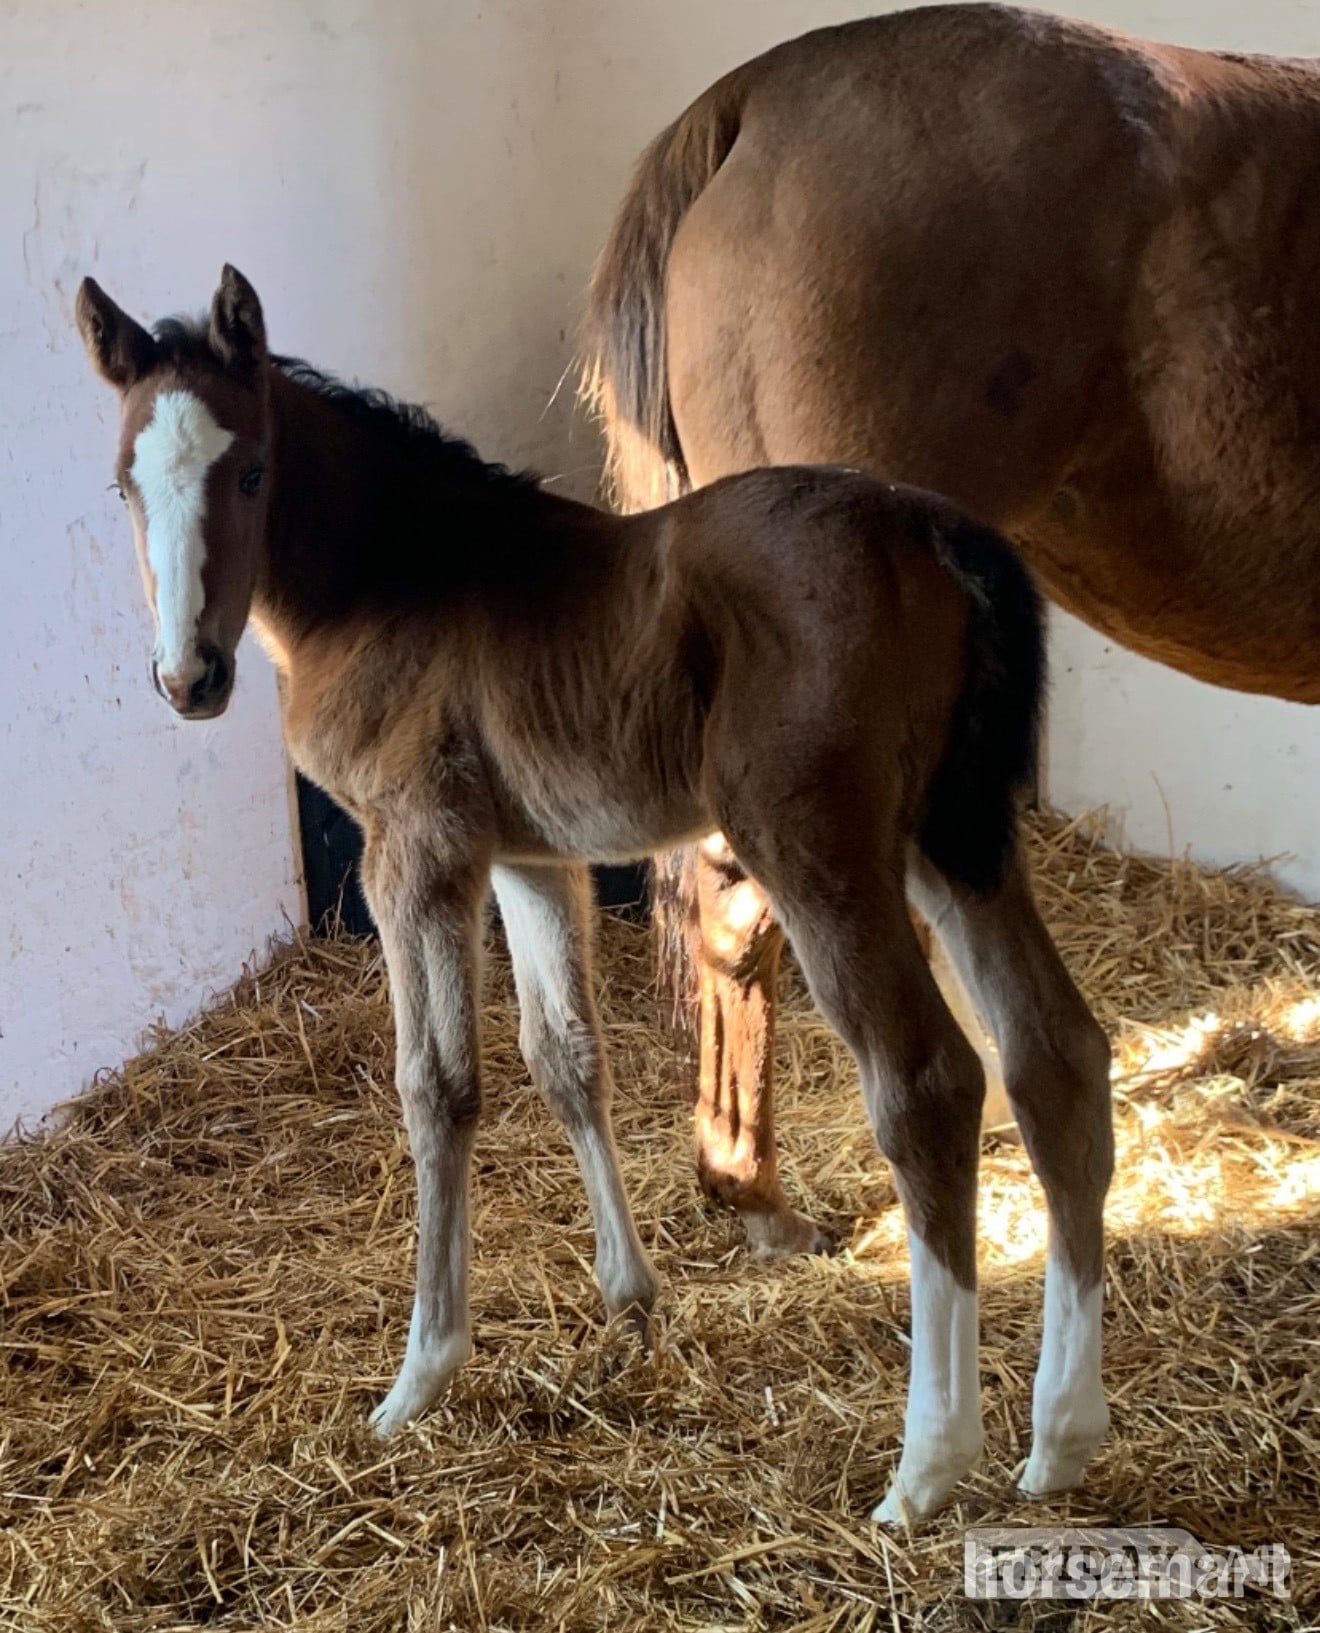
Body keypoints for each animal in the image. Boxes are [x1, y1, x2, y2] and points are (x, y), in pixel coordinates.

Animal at [77, 265, 1110, 1521]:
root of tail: (933, 526)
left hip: (820, 846)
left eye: (252, 470)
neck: (396, 575)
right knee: (1055, 1052)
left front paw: (421, 1374)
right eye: (126, 482)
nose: (191, 678)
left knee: (931, 1083)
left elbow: (440, 1087)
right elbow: (566, 1054)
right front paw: (628, 1290)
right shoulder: (532, 857)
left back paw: (929, 1462)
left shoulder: (415, 852)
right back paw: (1062, 1437)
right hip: (953, 837)